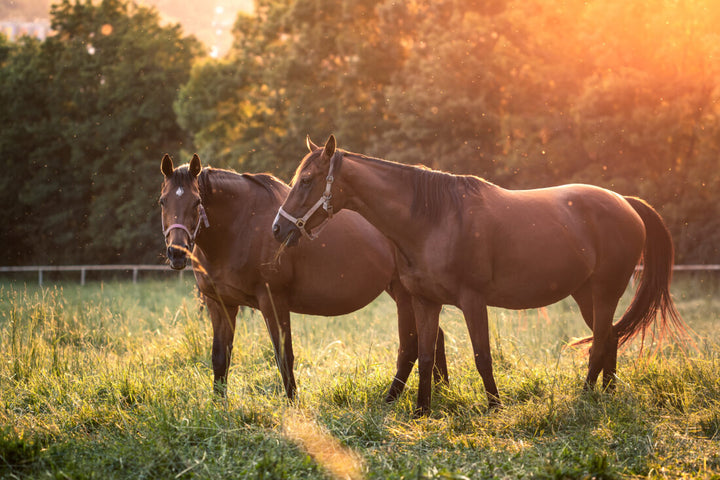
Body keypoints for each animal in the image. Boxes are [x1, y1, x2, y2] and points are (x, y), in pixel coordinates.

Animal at [160, 154, 448, 402]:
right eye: (163, 201)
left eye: (197, 203)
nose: (177, 252)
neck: (240, 226)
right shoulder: (220, 304)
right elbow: (220, 358)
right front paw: (219, 407)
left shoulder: (273, 301)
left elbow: (283, 356)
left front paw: (293, 406)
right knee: (434, 338)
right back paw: (441, 390)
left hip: (405, 294)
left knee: (411, 345)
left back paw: (393, 399)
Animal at [272, 136, 688, 416]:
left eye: (307, 180)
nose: (279, 228)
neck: (433, 219)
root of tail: (625, 202)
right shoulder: (425, 301)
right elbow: (425, 354)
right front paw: (422, 411)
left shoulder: (473, 301)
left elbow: (481, 355)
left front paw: (494, 406)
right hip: (587, 295)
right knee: (611, 338)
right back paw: (607, 395)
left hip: (603, 292)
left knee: (601, 341)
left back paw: (587, 397)